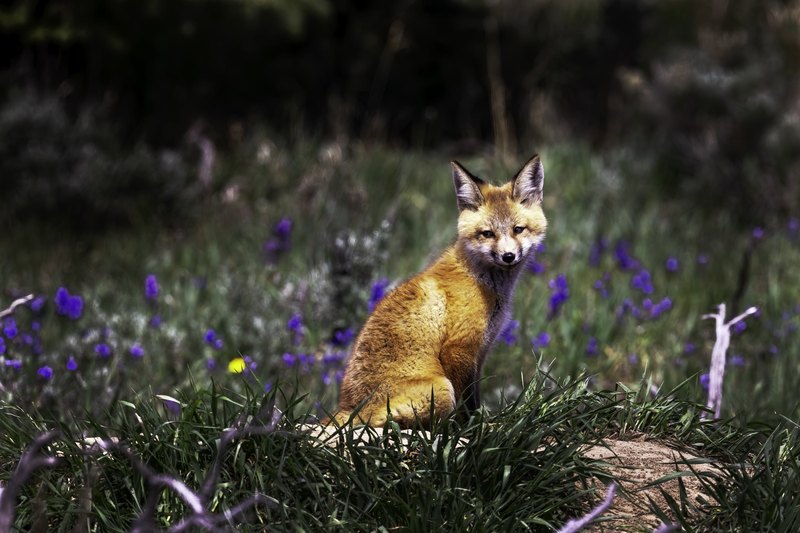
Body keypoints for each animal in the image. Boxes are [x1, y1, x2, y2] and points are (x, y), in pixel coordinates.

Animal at [331, 155, 547, 427]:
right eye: (488, 234)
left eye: (518, 229)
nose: (508, 256)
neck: (482, 281)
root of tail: (346, 406)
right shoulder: (459, 348)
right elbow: (467, 405)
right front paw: (470, 428)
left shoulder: (481, 351)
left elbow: (475, 395)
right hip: (441, 390)